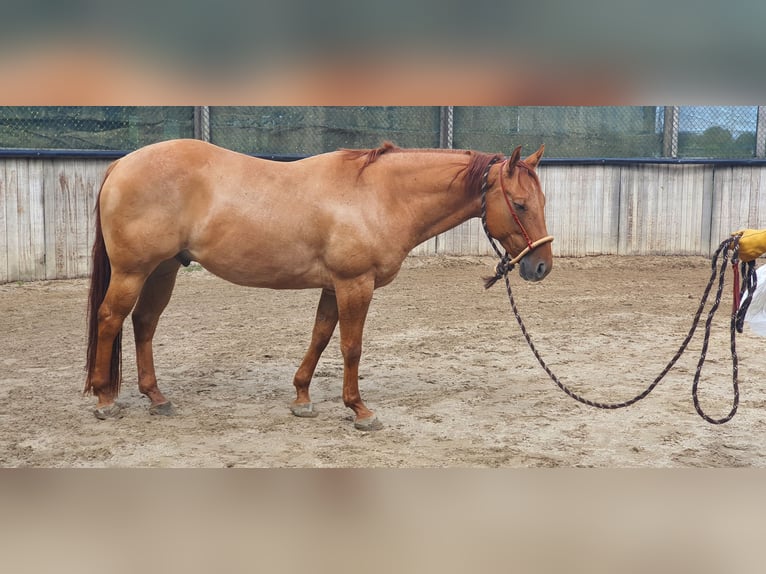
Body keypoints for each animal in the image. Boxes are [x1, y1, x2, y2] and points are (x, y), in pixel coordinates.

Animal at [84, 139, 553, 430]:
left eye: (541, 201)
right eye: (520, 204)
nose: (541, 267)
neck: (378, 196)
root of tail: (122, 163)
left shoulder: (333, 287)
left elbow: (320, 337)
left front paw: (302, 398)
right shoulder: (354, 284)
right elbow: (351, 347)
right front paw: (359, 410)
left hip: (163, 269)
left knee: (144, 323)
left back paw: (156, 398)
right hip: (133, 271)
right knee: (110, 319)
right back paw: (105, 400)